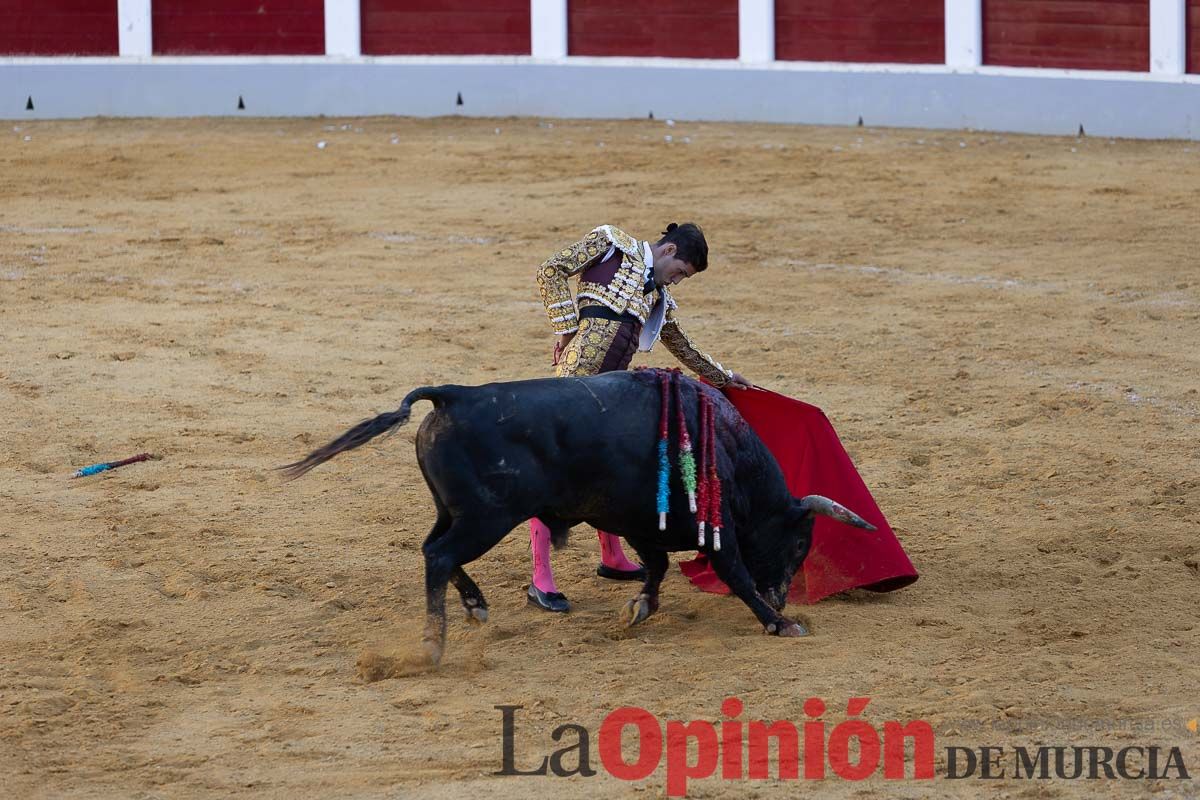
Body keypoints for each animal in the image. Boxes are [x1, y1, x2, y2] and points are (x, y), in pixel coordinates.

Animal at [285, 371, 878, 666]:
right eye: (799, 543)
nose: (782, 597)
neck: (726, 444)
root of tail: (452, 396)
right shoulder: (715, 532)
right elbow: (731, 570)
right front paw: (778, 623)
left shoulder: (643, 524)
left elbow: (657, 567)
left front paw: (639, 608)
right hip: (486, 517)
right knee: (439, 555)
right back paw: (434, 645)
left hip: (451, 510)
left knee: (432, 550)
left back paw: (475, 606)